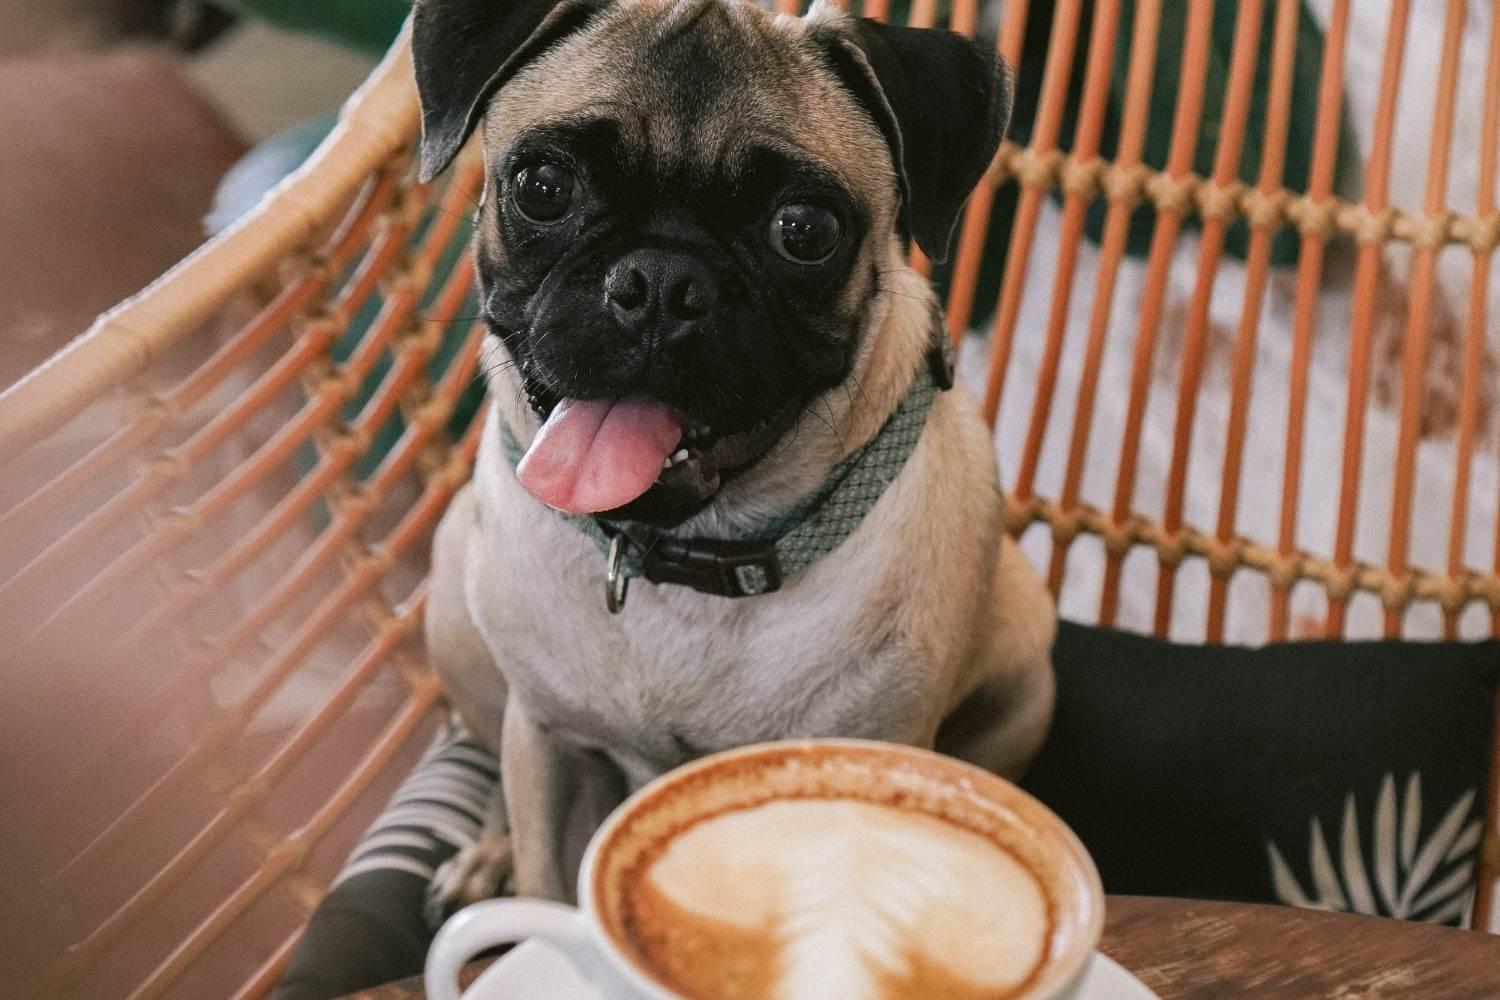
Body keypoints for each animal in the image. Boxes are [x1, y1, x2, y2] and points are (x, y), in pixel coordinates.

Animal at [417, 0, 1062, 917]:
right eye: (543, 187)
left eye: (805, 231)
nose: (659, 280)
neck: (679, 559)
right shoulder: (547, 741)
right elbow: (546, 879)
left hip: (1023, 665)